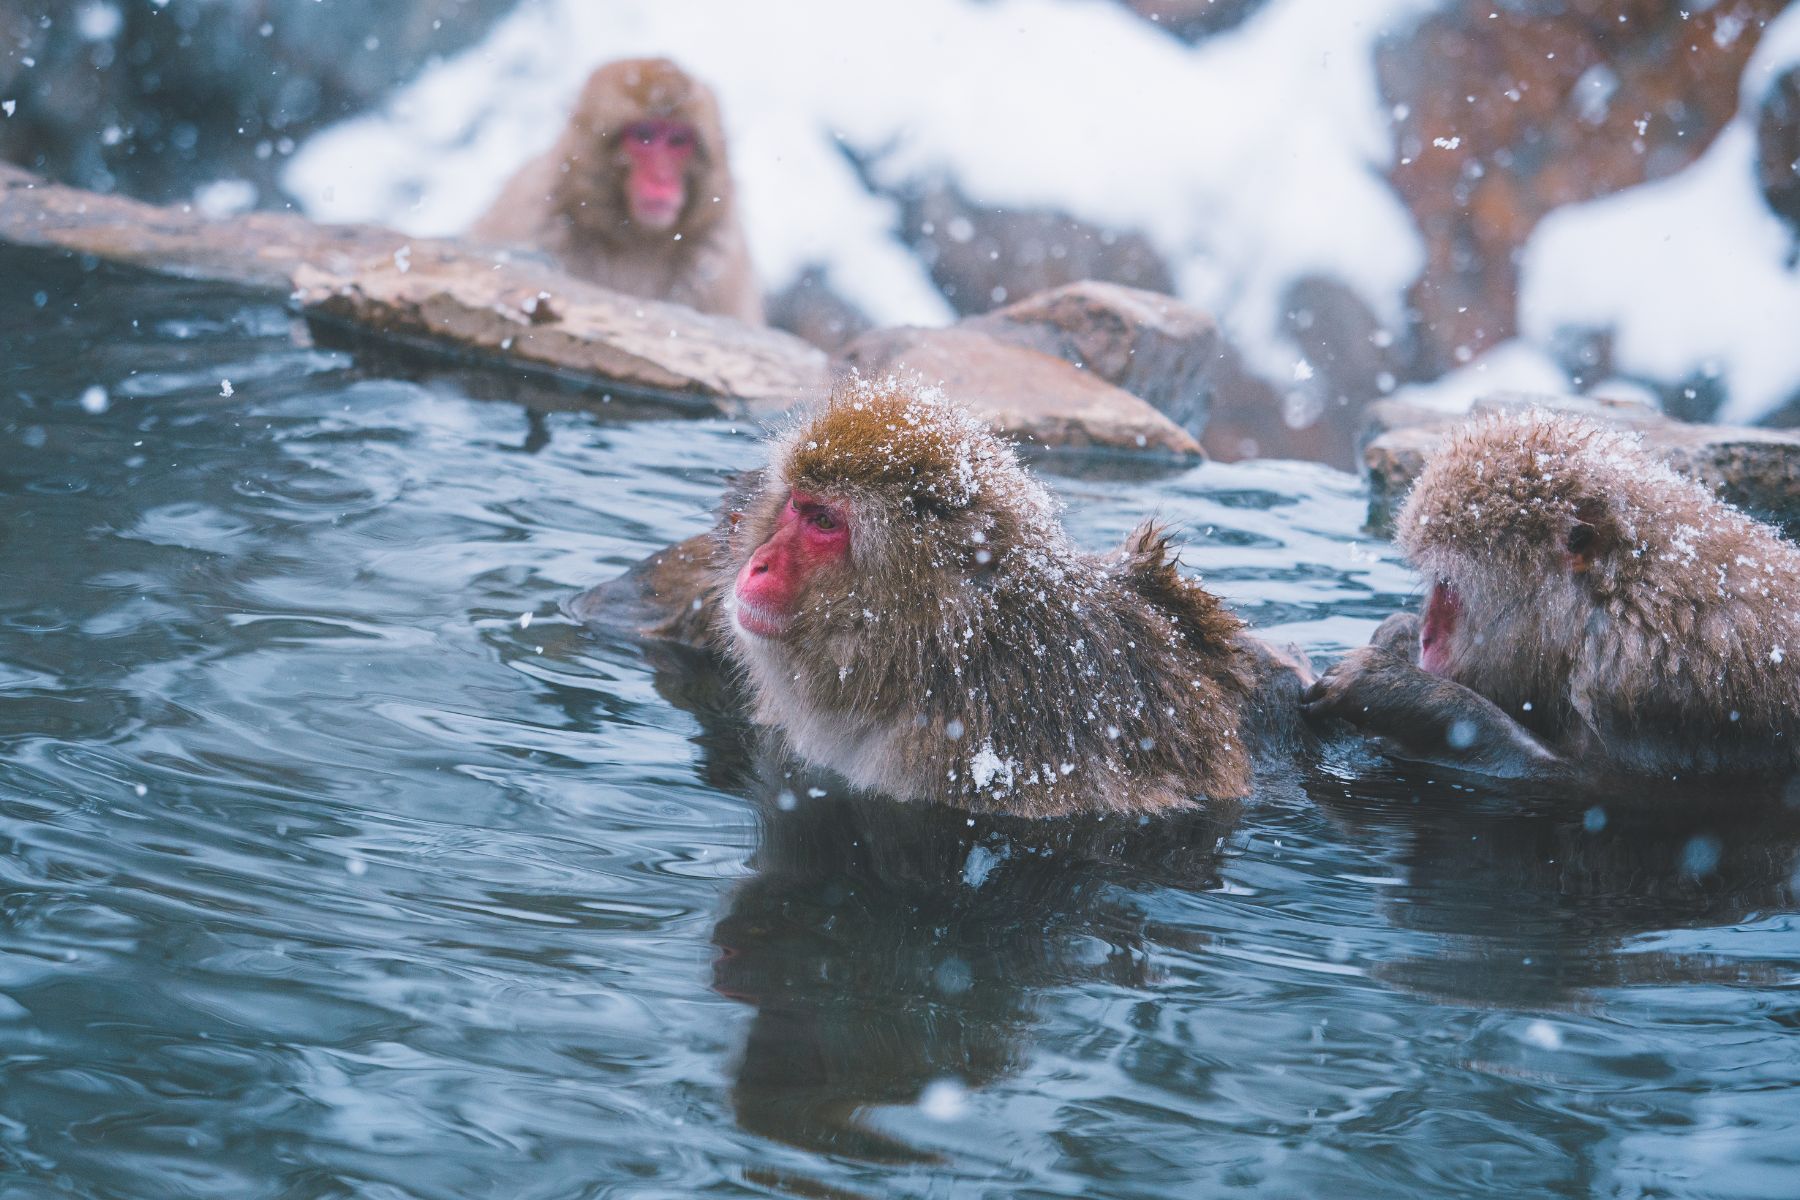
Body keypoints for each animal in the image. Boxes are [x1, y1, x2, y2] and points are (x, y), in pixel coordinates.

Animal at [471, 57, 763, 323]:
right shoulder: (527, 217)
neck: (637, 241)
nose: (661, 179)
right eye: (644, 135)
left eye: (678, 140)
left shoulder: (720, 268)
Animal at [1304, 408, 1800, 787]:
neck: (1626, 603)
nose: (1428, 638)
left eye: (1448, 585)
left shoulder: (1660, 692)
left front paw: (1395, 690)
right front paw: (1397, 635)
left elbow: (1584, 784)